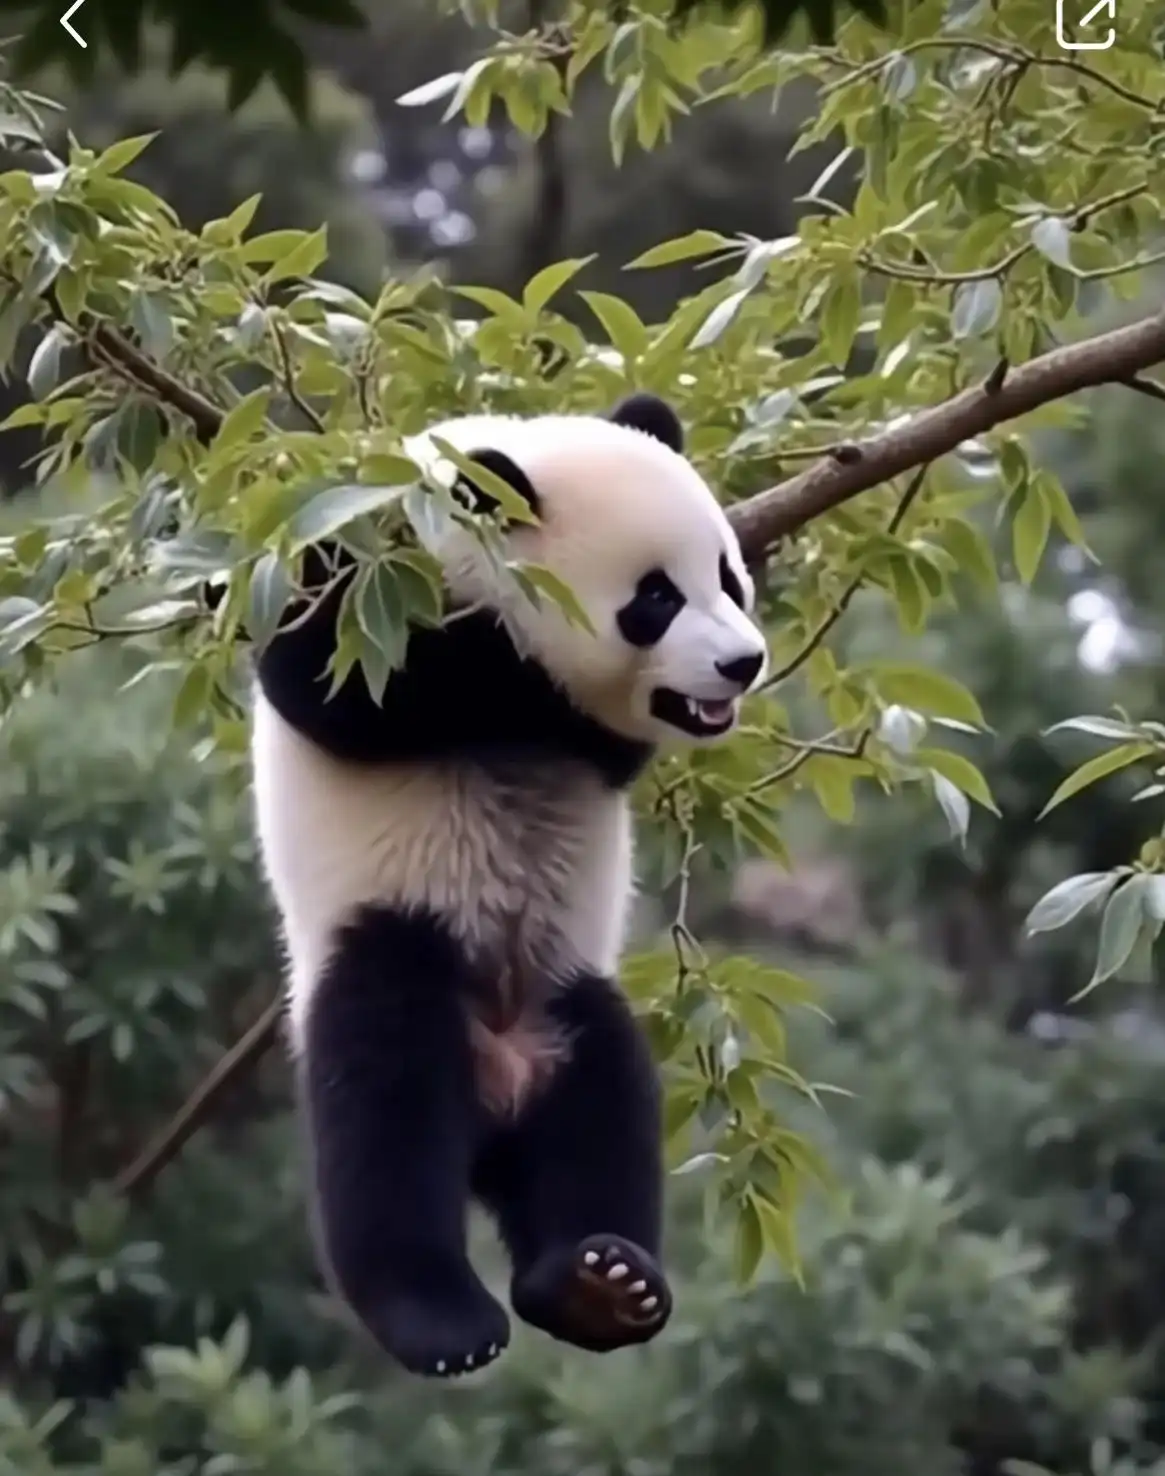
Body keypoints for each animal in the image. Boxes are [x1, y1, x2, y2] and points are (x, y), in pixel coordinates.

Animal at [249, 391, 768, 1379]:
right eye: (654, 598)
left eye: (727, 577)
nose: (742, 663)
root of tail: (495, 1092)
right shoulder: (361, 571)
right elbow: (334, 682)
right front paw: (519, 671)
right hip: (385, 940)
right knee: (385, 1107)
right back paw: (440, 1318)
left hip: (566, 995)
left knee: (602, 1117)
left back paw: (597, 1286)